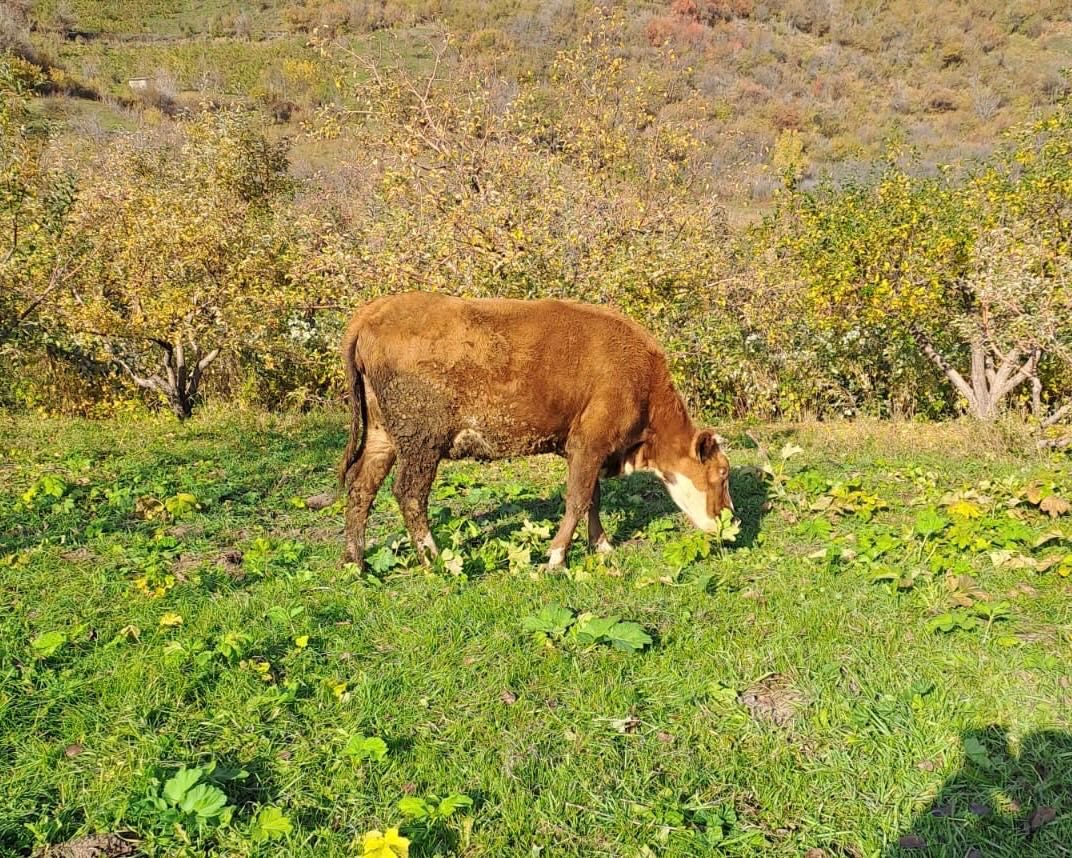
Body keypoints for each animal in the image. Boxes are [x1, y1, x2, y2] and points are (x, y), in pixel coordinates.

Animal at [338, 293, 733, 570]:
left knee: (361, 487)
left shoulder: (586, 449)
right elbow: (577, 499)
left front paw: (601, 545)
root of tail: (376, 308)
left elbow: (592, 498)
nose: (731, 519)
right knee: (408, 493)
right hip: (422, 441)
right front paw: (556, 558)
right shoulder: (589, 443)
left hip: (383, 435)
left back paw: (354, 561)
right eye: (722, 472)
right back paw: (436, 559)